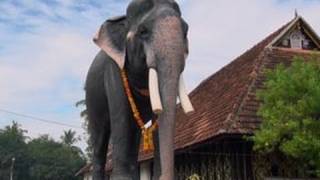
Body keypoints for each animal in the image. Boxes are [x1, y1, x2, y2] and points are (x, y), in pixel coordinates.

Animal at [85, 0, 194, 179]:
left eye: (186, 30)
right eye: (143, 31)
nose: (166, 176)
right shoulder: (114, 69)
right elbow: (122, 117)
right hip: (91, 100)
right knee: (100, 140)